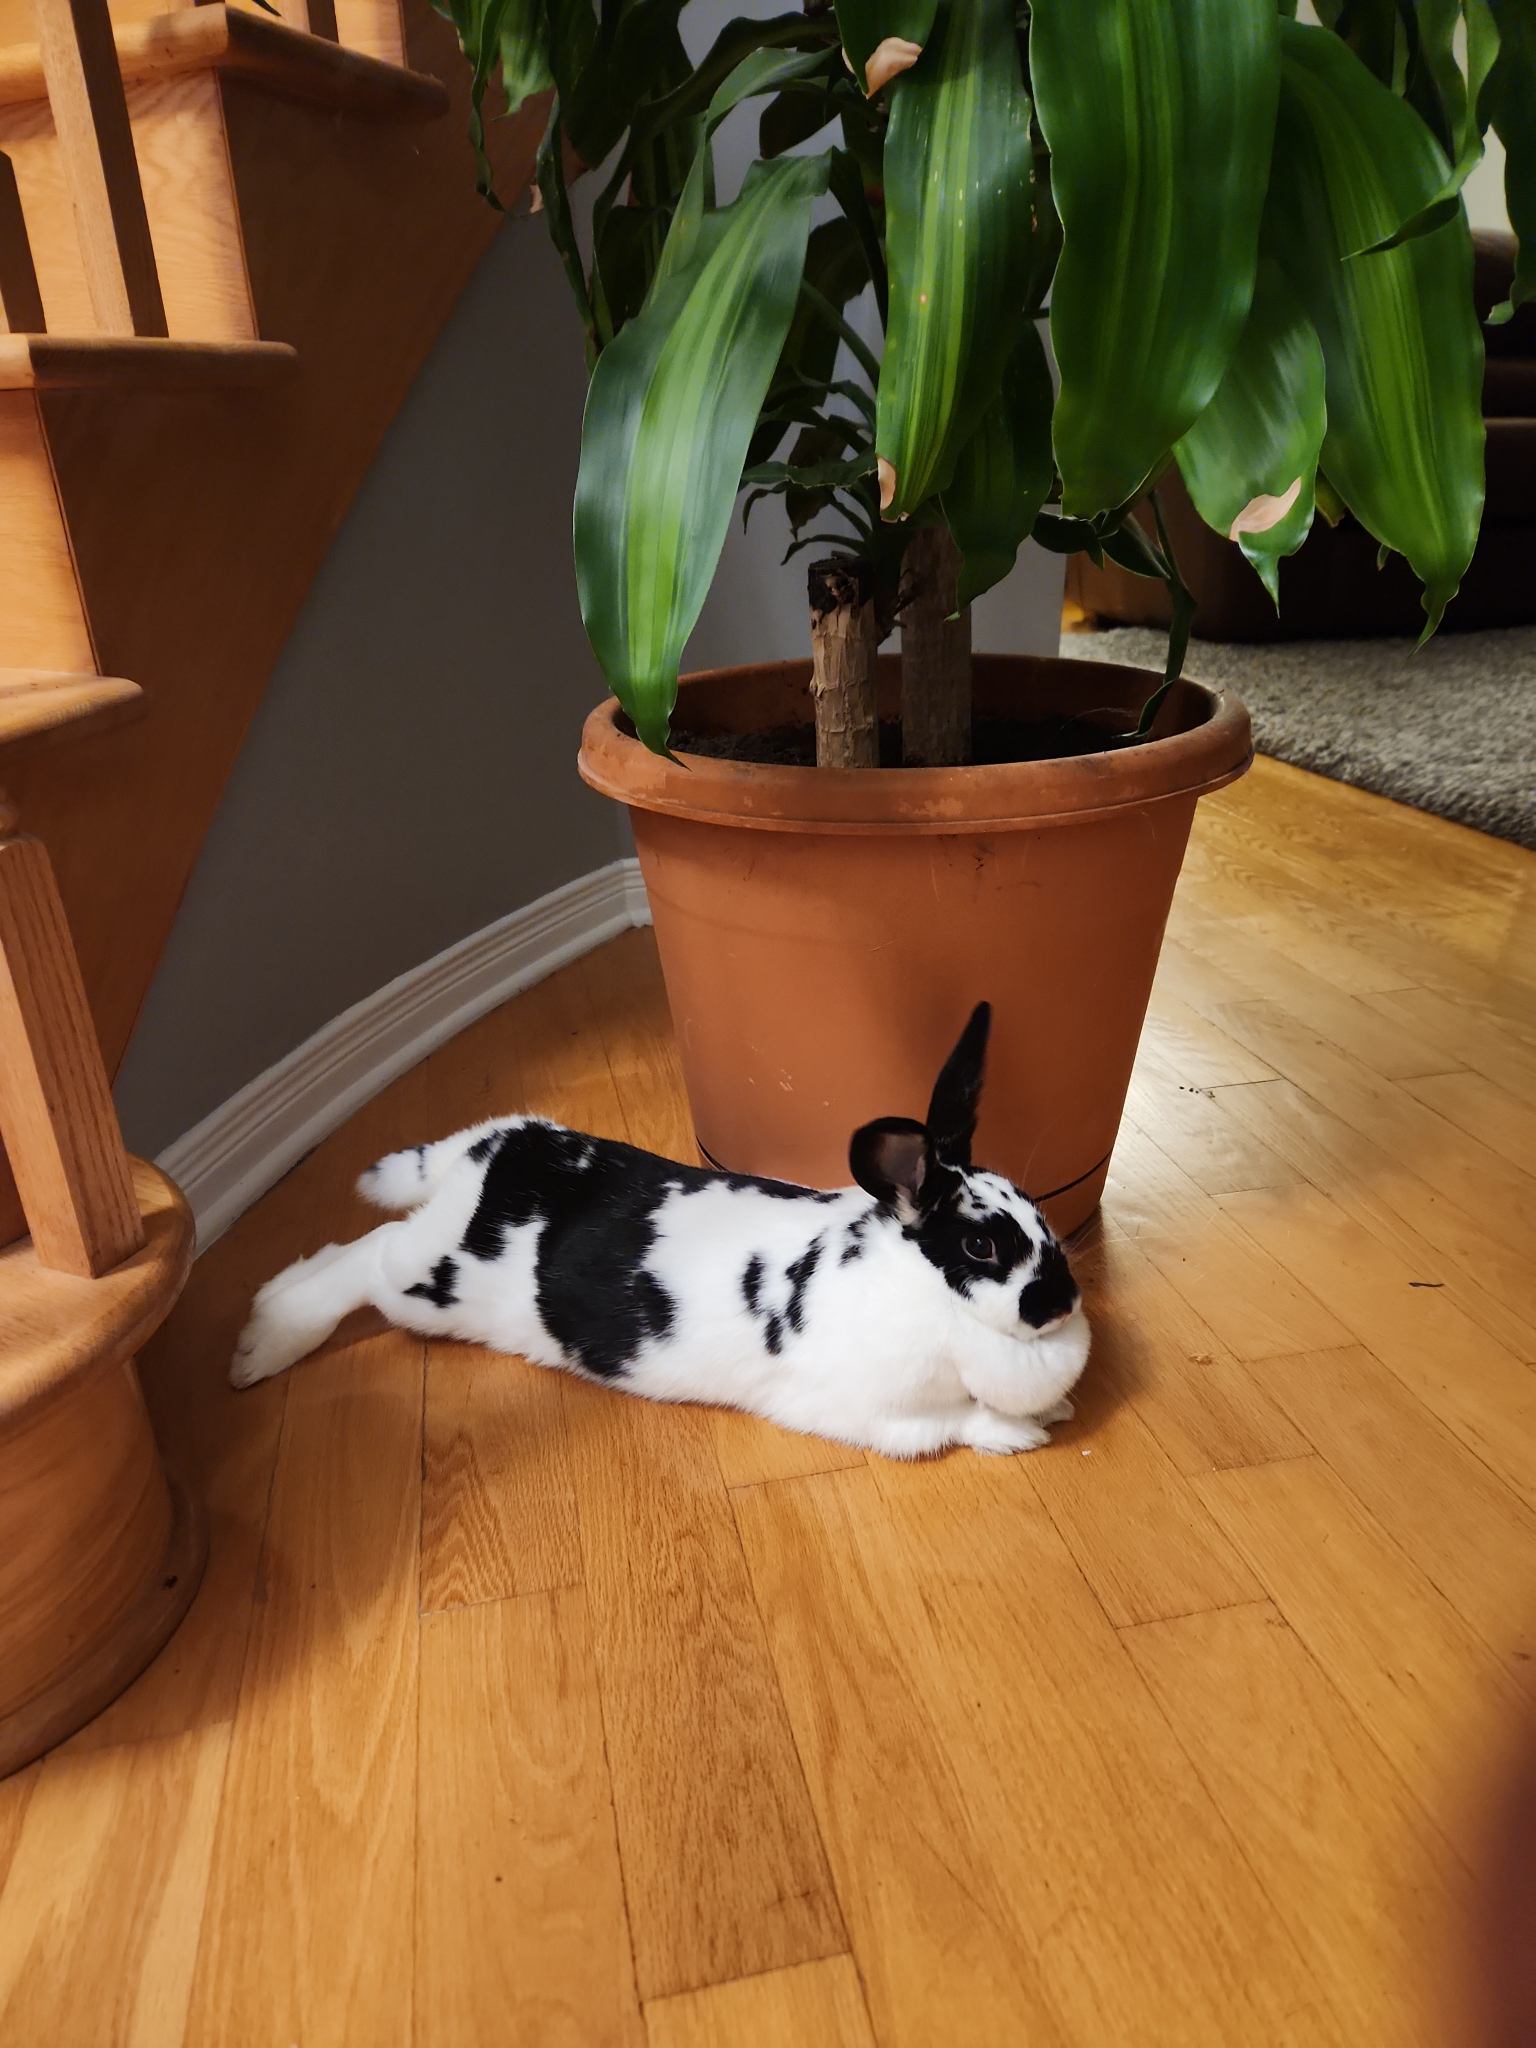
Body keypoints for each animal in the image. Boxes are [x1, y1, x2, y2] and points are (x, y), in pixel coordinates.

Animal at [231, 1003, 1097, 1458]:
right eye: (981, 1245)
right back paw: (260, 1350)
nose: (1061, 1301)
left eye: (1037, 1211)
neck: (925, 1292)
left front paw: (1051, 1413)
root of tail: (492, 1150)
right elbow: (961, 1423)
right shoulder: (882, 1414)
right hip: (431, 1285)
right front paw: (1028, 1429)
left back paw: (260, 1319)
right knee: (368, 1257)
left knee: (343, 1250)